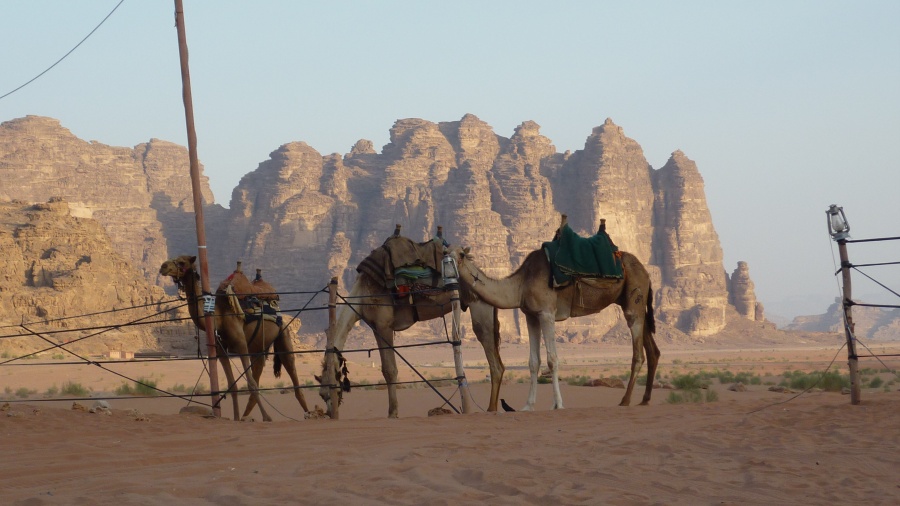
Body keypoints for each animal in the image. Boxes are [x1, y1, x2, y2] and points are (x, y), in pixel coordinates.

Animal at [159, 255, 310, 421]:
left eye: (182, 261)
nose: (163, 267)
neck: (219, 318)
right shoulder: (221, 350)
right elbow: (233, 385)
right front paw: (237, 418)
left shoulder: (241, 345)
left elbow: (251, 384)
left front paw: (267, 417)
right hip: (258, 349)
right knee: (259, 369)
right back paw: (245, 416)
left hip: (283, 333)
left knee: (291, 370)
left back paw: (308, 413)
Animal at [317, 233, 504, 419]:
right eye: (321, 395)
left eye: (328, 392)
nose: (329, 413)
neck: (361, 295)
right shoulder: (376, 326)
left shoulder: (383, 324)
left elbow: (389, 370)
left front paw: (393, 413)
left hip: (479, 304)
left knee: (492, 357)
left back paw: (491, 409)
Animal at [448, 229, 660, 411]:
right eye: (445, 252)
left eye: (461, 254)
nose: (449, 266)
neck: (520, 285)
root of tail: (646, 272)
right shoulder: (531, 315)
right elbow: (533, 361)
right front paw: (528, 406)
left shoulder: (547, 313)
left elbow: (552, 359)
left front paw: (558, 404)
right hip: (630, 301)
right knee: (652, 350)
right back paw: (644, 400)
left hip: (634, 296)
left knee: (638, 352)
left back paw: (625, 400)